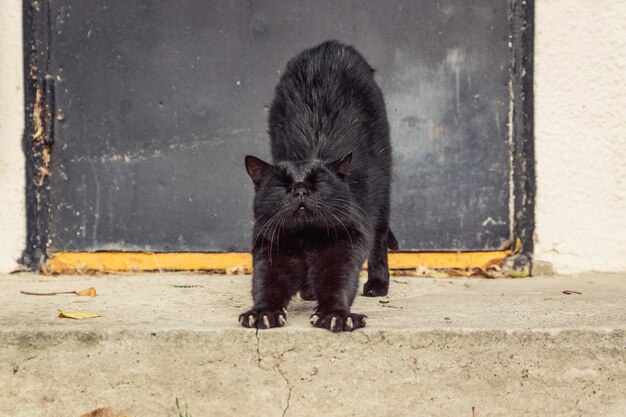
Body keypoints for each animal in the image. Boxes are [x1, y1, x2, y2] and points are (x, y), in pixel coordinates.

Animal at [239, 39, 394, 332]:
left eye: (318, 182)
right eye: (282, 185)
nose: (300, 190)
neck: (305, 237)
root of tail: (330, 46)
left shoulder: (343, 245)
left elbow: (338, 283)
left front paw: (336, 315)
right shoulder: (271, 247)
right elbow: (266, 284)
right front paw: (262, 313)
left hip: (383, 187)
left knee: (379, 236)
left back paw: (377, 285)